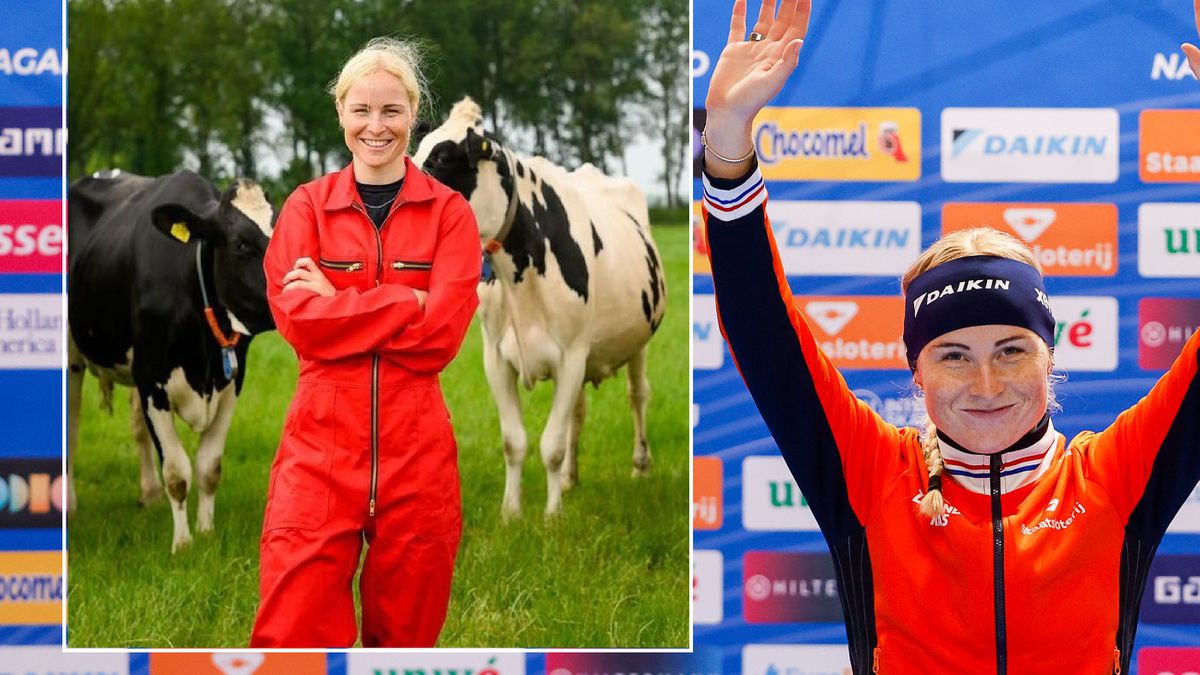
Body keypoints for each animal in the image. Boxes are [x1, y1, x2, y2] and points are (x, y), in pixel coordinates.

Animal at [67, 169, 274, 552]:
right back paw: (70, 503)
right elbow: (178, 471)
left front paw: (206, 531)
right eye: (241, 244)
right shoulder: (152, 379)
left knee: (137, 428)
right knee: (71, 426)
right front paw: (183, 543)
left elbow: (209, 467)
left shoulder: (231, 383)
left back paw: (149, 494)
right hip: (73, 354)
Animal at [417, 97, 672, 516]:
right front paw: (512, 512)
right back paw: (570, 478)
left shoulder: (571, 355)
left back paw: (640, 465)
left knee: (638, 396)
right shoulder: (496, 357)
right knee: (578, 412)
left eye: (441, 159)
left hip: (639, 343)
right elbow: (514, 441)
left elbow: (550, 444)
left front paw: (553, 516)